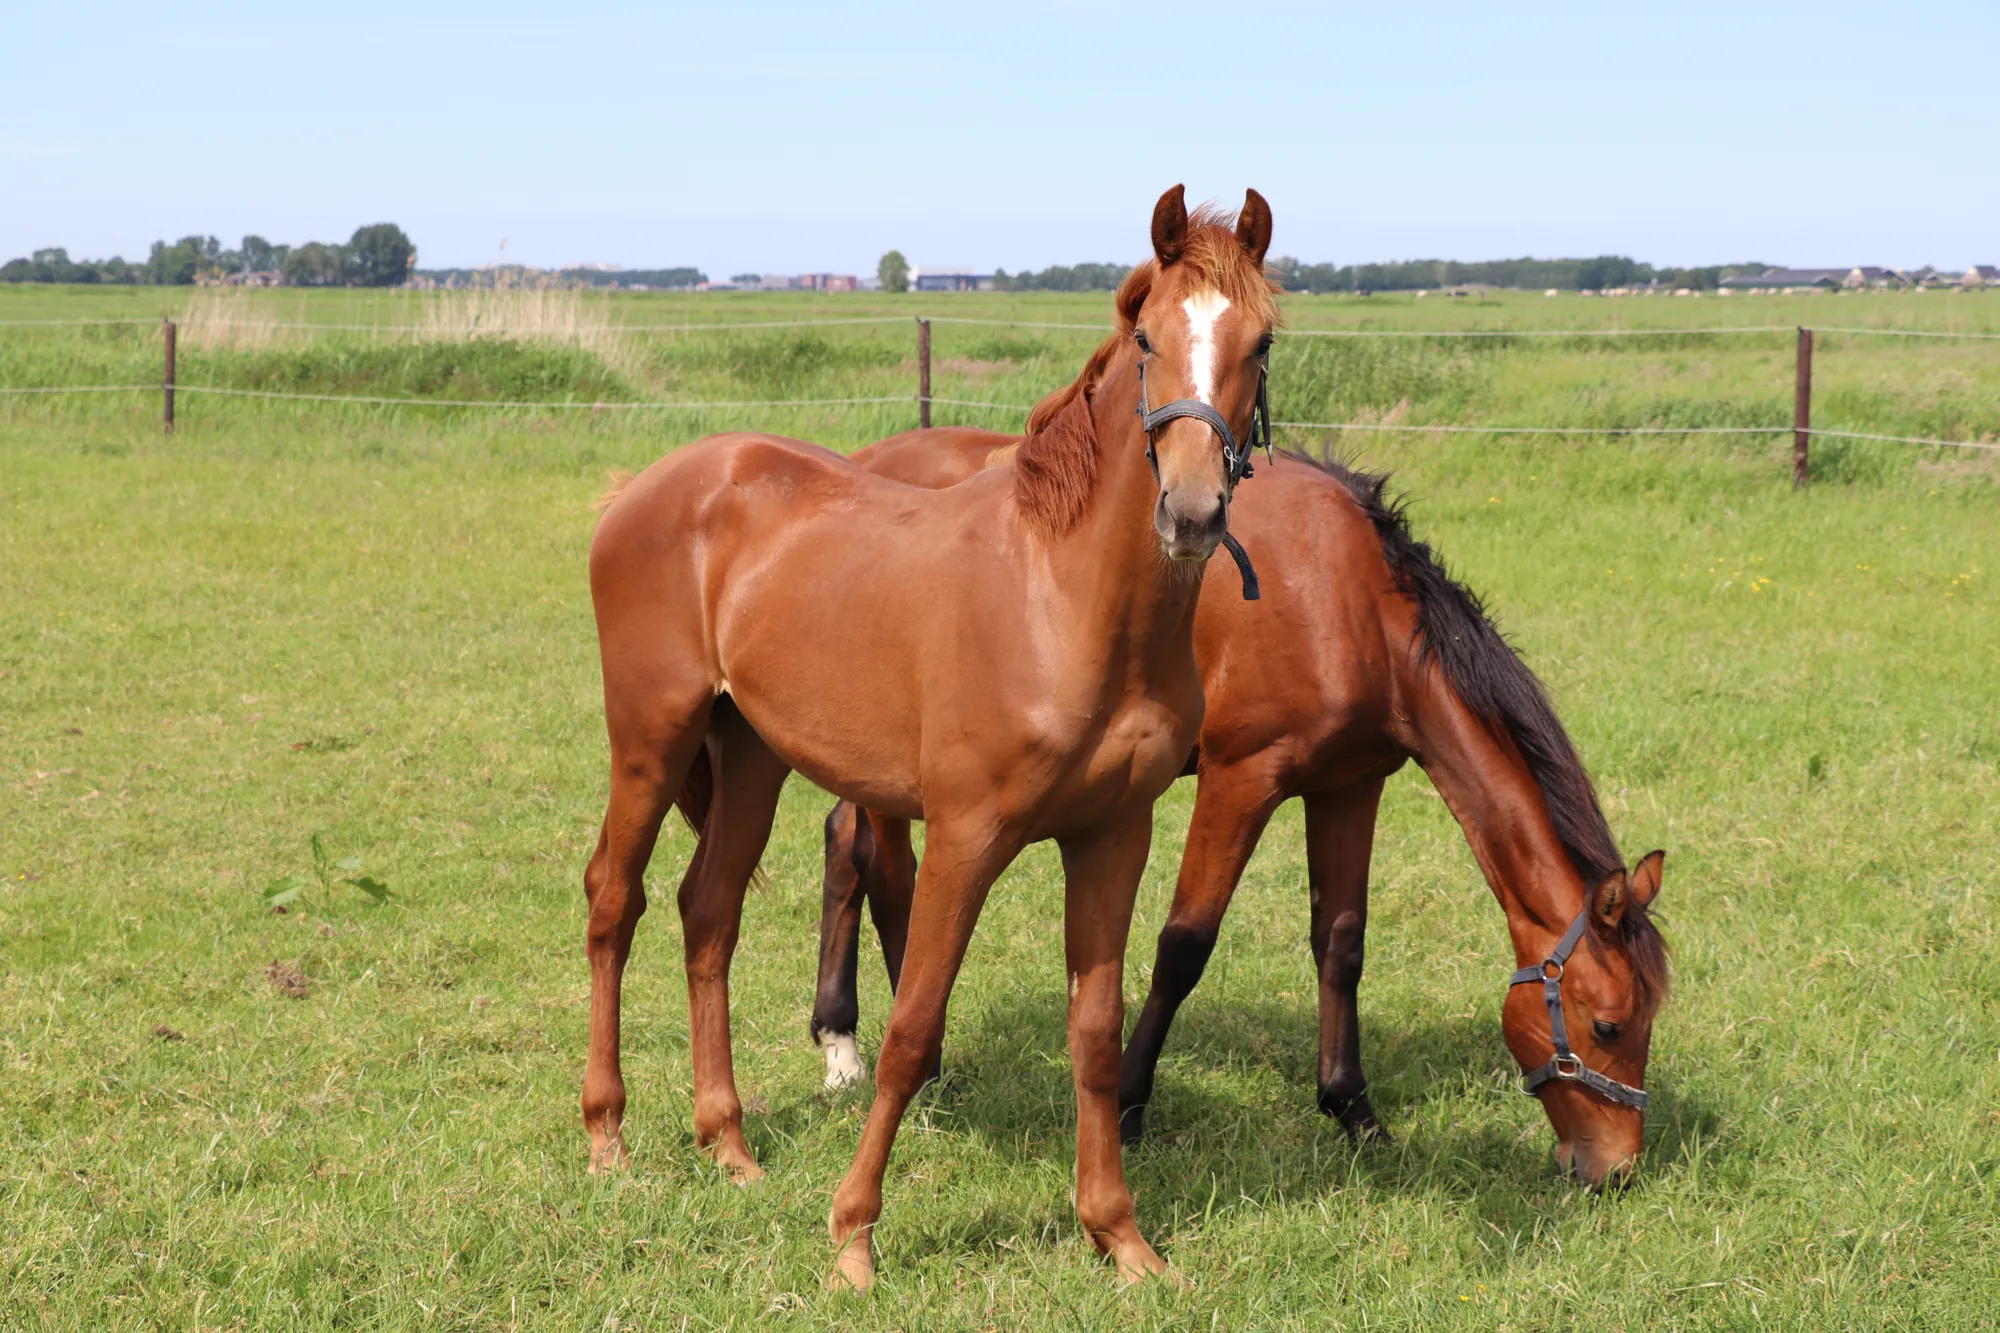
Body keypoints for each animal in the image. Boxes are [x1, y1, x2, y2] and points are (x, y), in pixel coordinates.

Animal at [582, 185, 1279, 1288]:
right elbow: (910, 1028)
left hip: (750, 756)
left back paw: (728, 1144)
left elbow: (1093, 1031)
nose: (1192, 510)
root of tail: (649, 488)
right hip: (652, 736)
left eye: (1260, 340)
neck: (1060, 599)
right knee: (616, 897)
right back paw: (607, 1136)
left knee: (708, 913)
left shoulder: (1112, 836)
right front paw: (853, 1238)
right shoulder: (961, 836)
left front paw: (1120, 1237)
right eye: (1145, 337)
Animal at [812, 432, 1670, 1187]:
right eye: (1607, 1025)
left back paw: (841, 1039)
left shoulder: (1350, 785)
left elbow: (1341, 943)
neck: (1346, 597)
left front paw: (1353, 1109)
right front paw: (1128, 1102)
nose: (1615, 1169)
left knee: (845, 848)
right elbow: (1185, 943)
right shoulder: (1239, 780)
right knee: (883, 867)